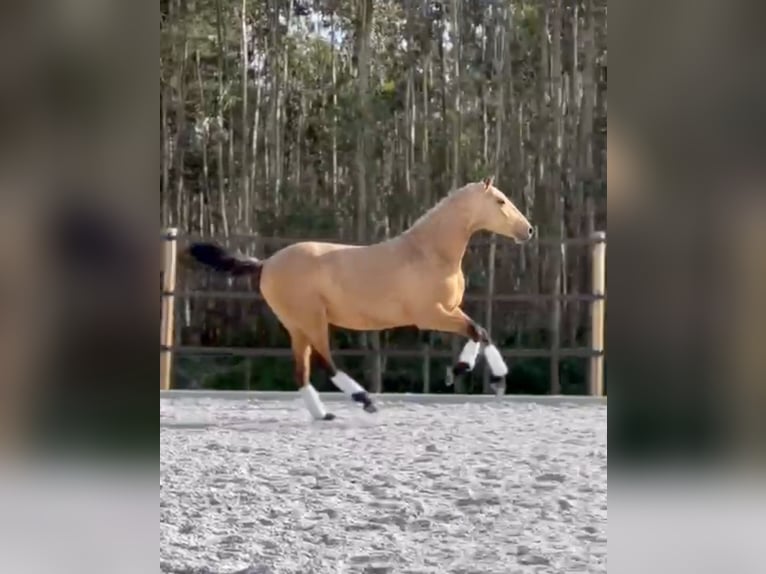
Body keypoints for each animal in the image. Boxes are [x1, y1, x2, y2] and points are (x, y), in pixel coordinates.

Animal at [186, 178, 536, 420]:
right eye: (501, 201)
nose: (529, 230)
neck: (428, 253)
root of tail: (267, 264)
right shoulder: (430, 314)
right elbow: (477, 330)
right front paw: (474, 373)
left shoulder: (449, 309)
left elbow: (480, 331)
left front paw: (484, 376)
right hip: (311, 320)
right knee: (326, 362)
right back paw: (364, 400)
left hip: (296, 326)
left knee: (302, 371)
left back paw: (323, 414)